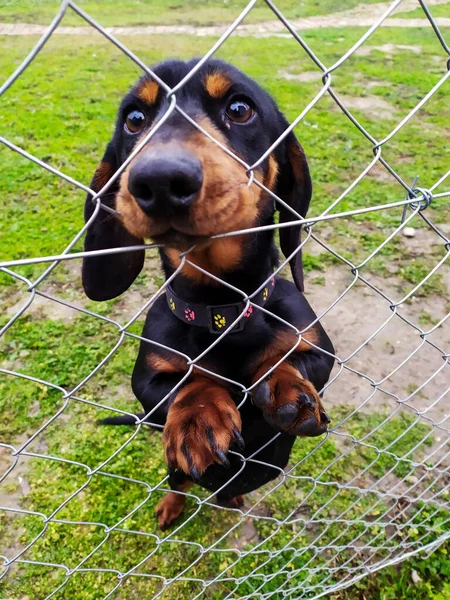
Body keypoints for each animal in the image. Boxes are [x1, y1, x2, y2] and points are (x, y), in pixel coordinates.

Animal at [81, 58, 334, 528]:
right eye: (134, 118)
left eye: (239, 108)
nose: (160, 179)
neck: (223, 309)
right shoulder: (147, 381)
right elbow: (188, 383)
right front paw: (198, 419)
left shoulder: (321, 350)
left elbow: (289, 361)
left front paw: (288, 390)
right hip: (174, 469)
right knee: (179, 483)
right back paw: (172, 506)